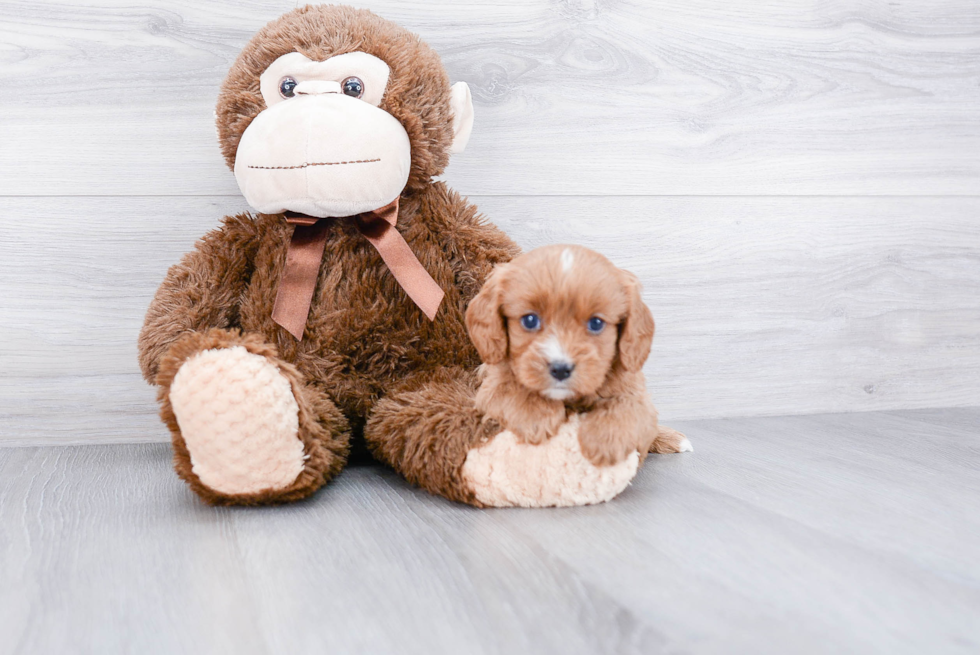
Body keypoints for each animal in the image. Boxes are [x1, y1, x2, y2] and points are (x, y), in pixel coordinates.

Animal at [466, 245, 688, 466]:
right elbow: (509, 388)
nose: (560, 369)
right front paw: (535, 415)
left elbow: (629, 407)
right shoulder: (490, 385)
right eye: (530, 320)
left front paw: (604, 440)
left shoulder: (635, 391)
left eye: (596, 323)